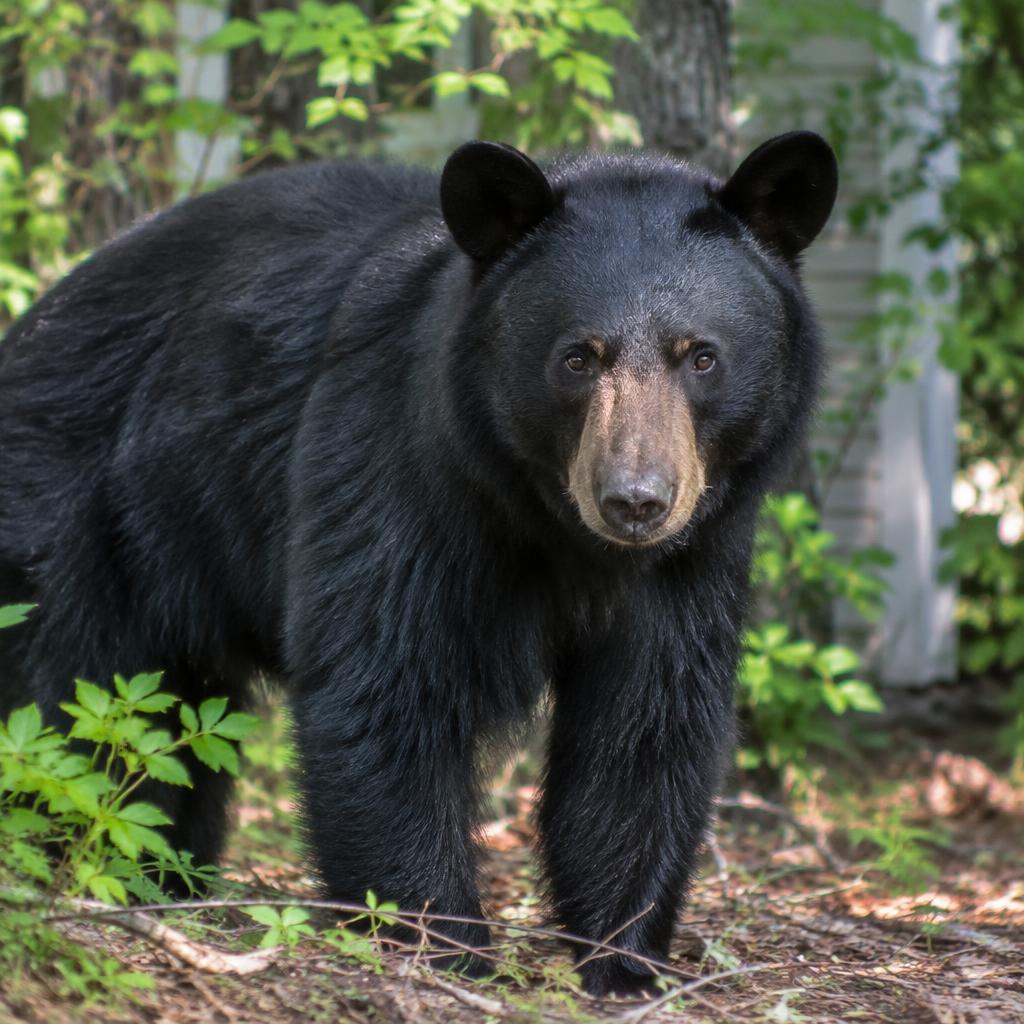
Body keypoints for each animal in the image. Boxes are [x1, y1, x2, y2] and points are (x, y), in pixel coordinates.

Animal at [0, 132, 837, 995]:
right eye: (577, 357)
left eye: (701, 357)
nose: (635, 500)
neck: (555, 529)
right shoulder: (396, 463)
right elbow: (387, 689)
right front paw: (446, 947)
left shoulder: (689, 562)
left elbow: (643, 728)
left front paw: (625, 961)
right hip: (77, 516)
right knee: (71, 710)